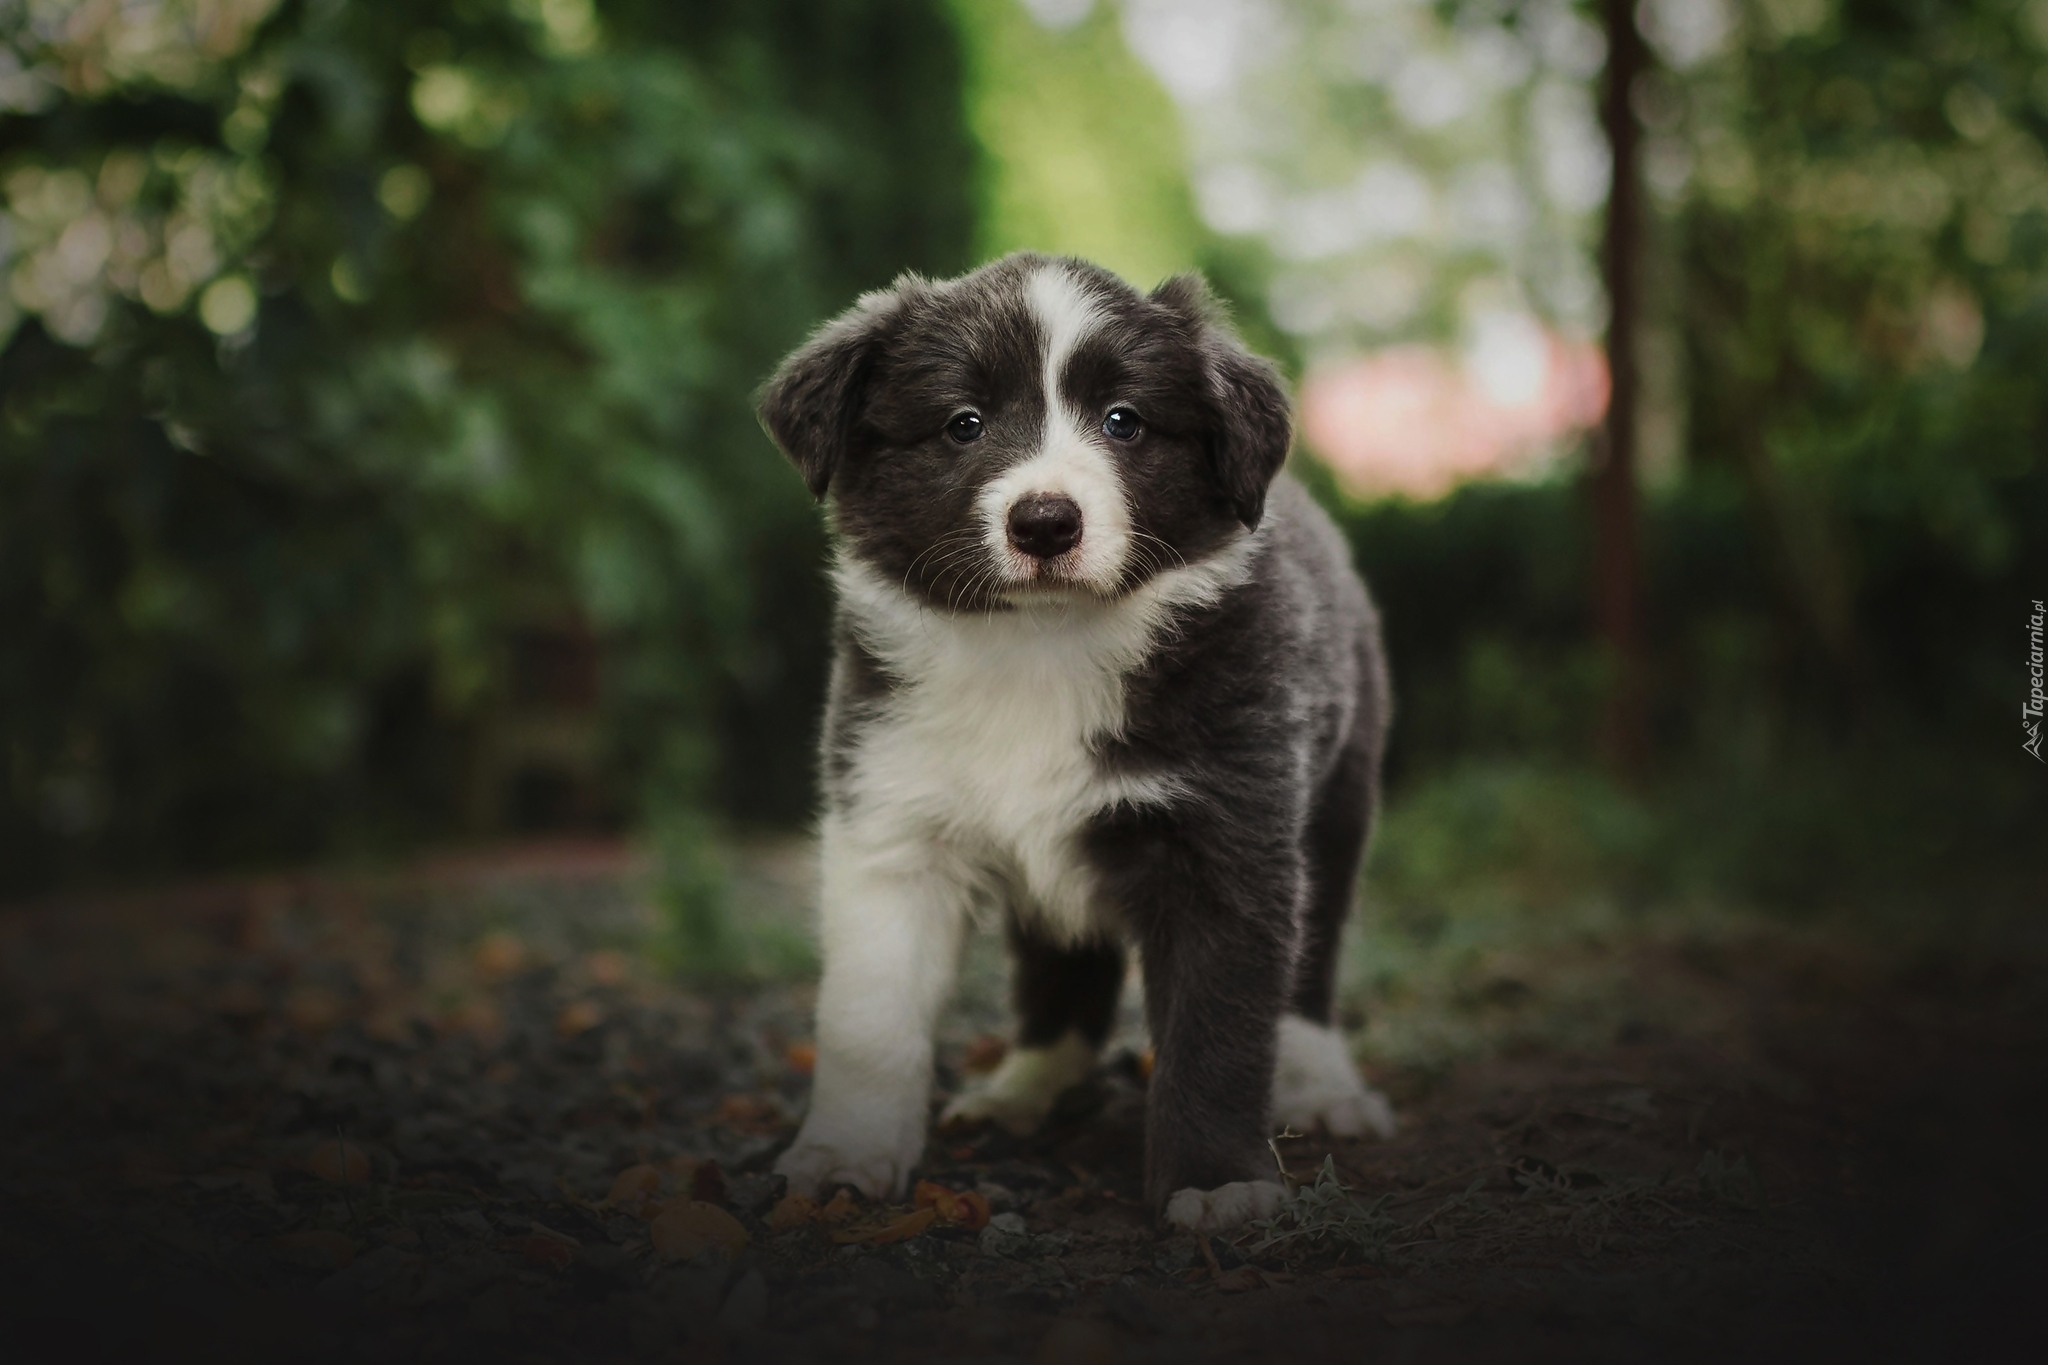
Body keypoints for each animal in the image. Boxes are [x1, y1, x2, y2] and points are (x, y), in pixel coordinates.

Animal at [761, 250, 1400, 1236]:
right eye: (964, 423)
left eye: (1123, 421)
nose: (1045, 521)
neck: (1041, 645)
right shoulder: (894, 824)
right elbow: (871, 1015)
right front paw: (845, 1153)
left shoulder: (1227, 834)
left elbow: (1218, 1028)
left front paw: (1217, 1180)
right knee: (1063, 967)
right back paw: (1024, 1087)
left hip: (1336, 802)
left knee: (1311, 962)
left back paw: (1322, 1083)